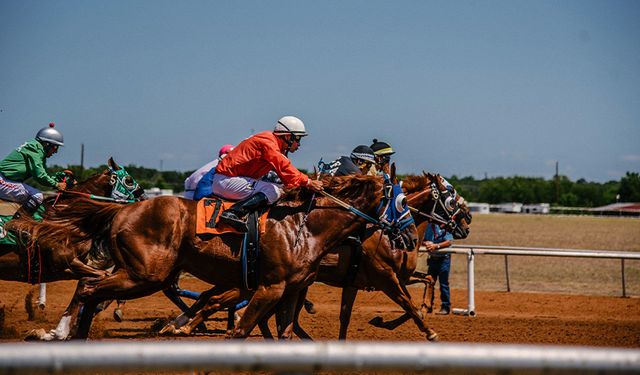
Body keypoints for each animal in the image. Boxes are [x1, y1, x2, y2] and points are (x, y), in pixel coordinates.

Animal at [40, 173, 420, 340]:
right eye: (402, 201)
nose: (413, 238)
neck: (305, 227)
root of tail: (124, 209)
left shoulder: (292, 290)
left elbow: (283, 332)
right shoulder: (270, 287)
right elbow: (240, 330)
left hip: (139, 272)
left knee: (90, 287)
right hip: (146, 275)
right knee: (90, 288)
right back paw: (60, 332)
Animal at [160, 172, 470, 342]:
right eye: (451, 196)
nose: (466, 223)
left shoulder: (361, 281)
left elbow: (424, 281)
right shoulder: (385, 276)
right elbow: (409, 304)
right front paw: (426, 330)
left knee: (217, 300)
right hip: (252, 282)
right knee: (216, 300)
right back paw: (182, 326)